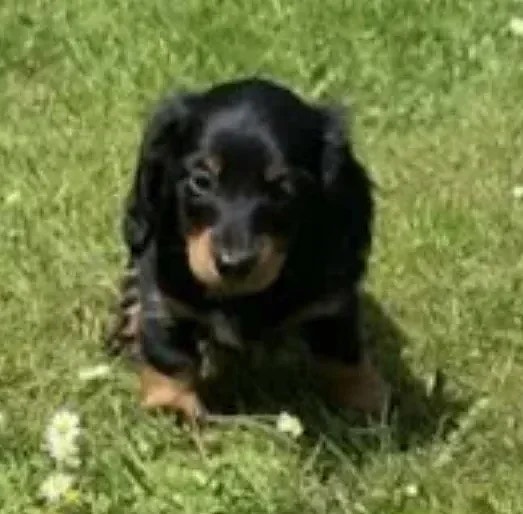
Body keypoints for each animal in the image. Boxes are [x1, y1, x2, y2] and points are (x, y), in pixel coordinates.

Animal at [105, 77, 388, 422]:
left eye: (282, 190)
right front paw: (172, 405)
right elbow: (168, 350)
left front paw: (366, 400)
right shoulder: (163, 293)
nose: (233, 264)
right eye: (201, 181)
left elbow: (344, 350)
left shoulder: (331, 299)